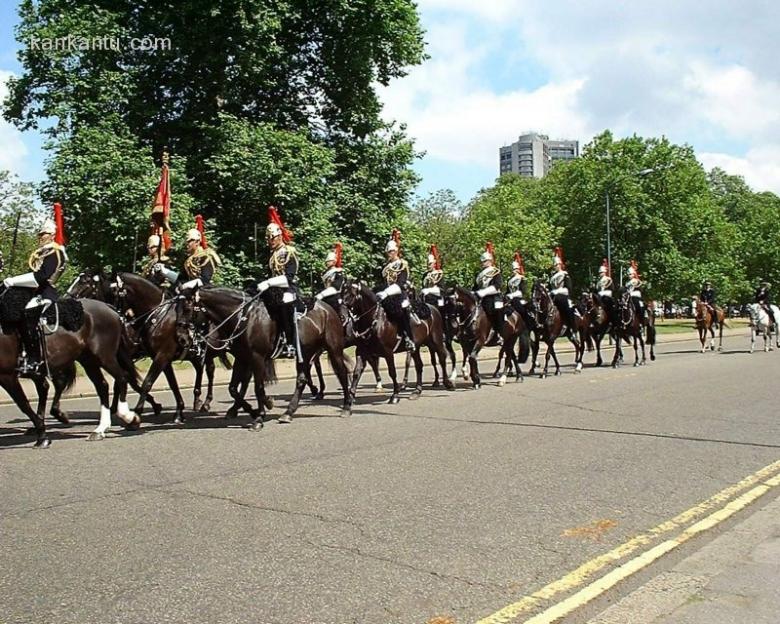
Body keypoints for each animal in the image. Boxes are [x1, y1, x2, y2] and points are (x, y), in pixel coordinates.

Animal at [0, 288, 140, 448]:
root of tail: (109, 308)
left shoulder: (7, 375)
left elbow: (23, 404)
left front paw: (42, 437)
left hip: (104, 356)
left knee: (122, 378)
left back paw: (128, 417)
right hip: (88, 360)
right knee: (102, 386)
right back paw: (100, 429)